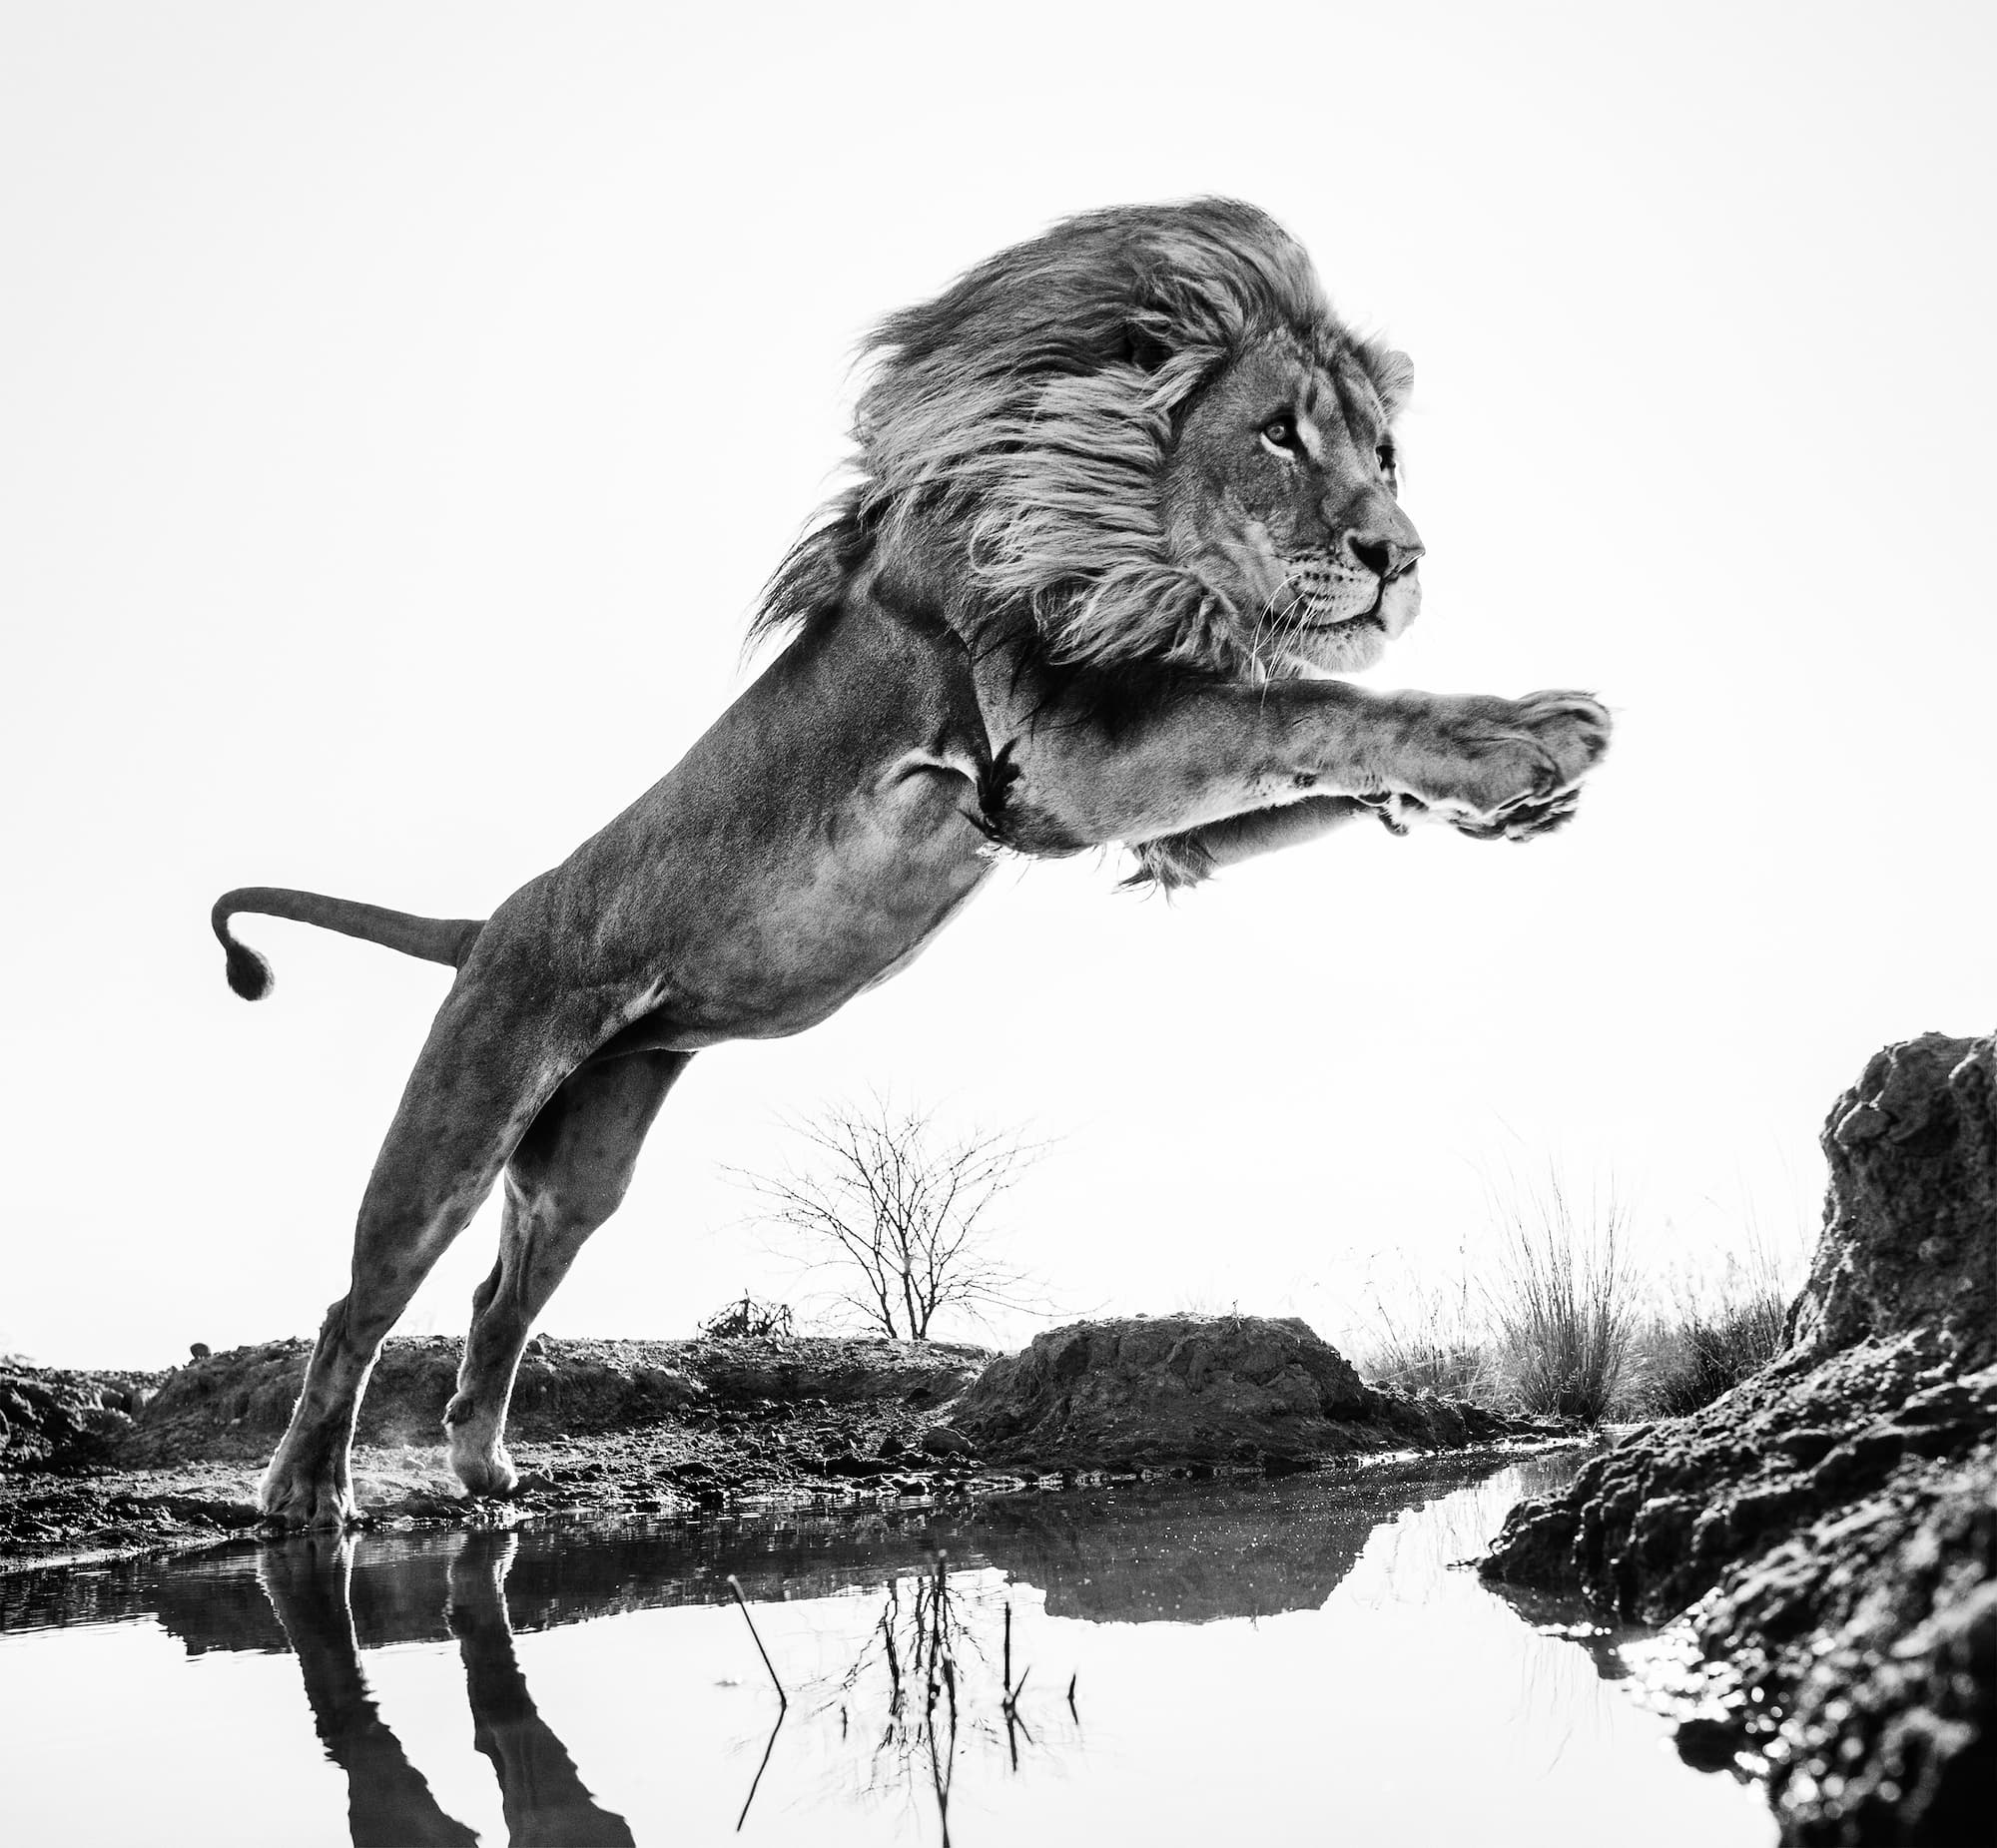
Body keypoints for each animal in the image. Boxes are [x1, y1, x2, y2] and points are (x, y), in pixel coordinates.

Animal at [215, 199, 1610, 1526]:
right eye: (1276, 434)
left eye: (1384, 452)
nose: (1399, 558)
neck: (1114, 525)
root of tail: (487, 924)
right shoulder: (1058, 770)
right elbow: (1311, 706)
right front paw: (1526, 737)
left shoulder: (1154, 819)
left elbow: (1313, 750)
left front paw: (1497, 804)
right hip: (459, 1124)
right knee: (360, 1305)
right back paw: (306, 1492)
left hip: (586, 1158)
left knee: (501, 1296)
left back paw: (482, 1465)